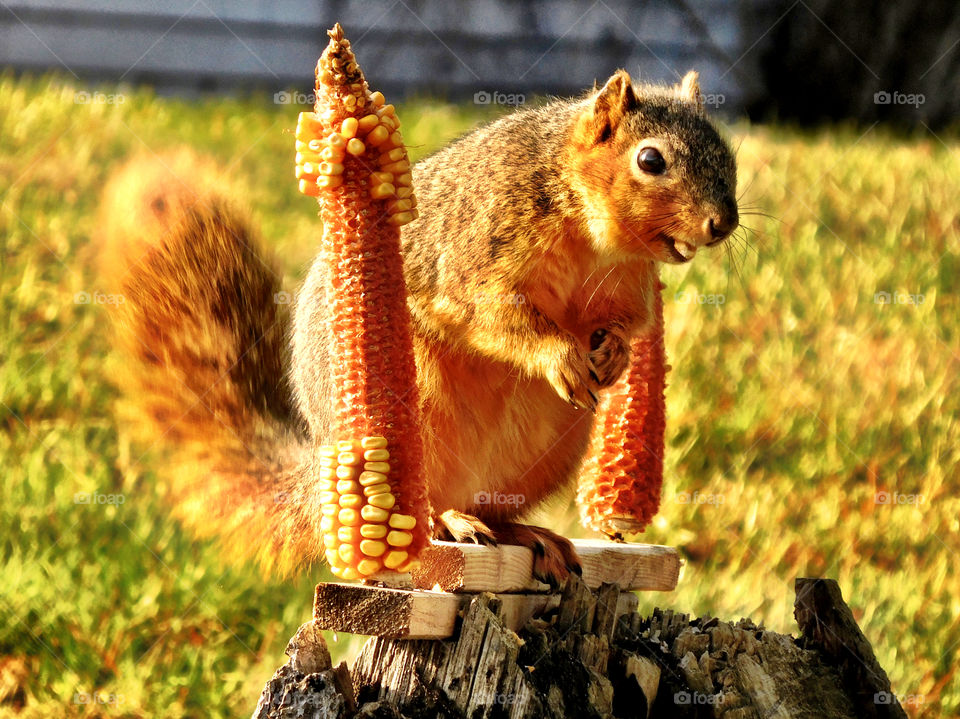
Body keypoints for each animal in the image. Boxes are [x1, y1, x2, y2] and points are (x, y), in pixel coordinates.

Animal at [100, 69, 738, 582]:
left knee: (493, 508)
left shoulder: (629, 287)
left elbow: (627, 326)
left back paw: (519, 532)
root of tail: (323, 471)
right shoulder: (482, 245)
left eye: (728, 159)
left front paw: (614, 356)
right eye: (650, 160)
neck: (591, 231)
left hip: (544, 450)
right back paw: (446, 520)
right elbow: (493, 313)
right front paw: (559, 355)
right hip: (417, 420)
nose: (722, 224)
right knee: (426, 510)